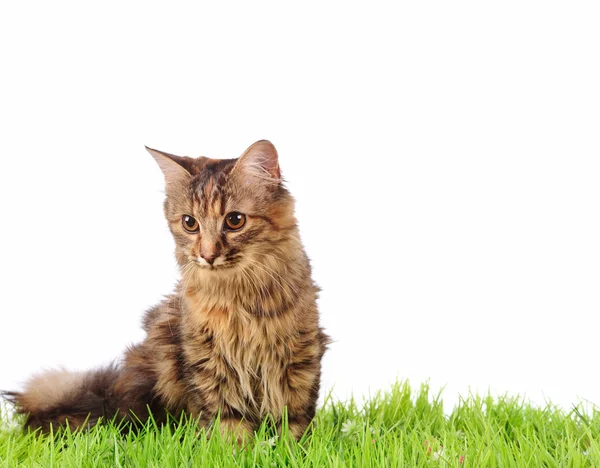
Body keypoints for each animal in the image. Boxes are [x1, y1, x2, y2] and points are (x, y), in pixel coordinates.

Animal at [2, 141, 330, 440]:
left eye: (235, 220)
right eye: (190, 223)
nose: (207, 255)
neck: (237, 296)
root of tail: (106, 395)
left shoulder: (300, 358)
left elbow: (294, 425)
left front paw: (288, 452)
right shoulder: (207, 363)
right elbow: (227, 426)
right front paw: (235, 453)